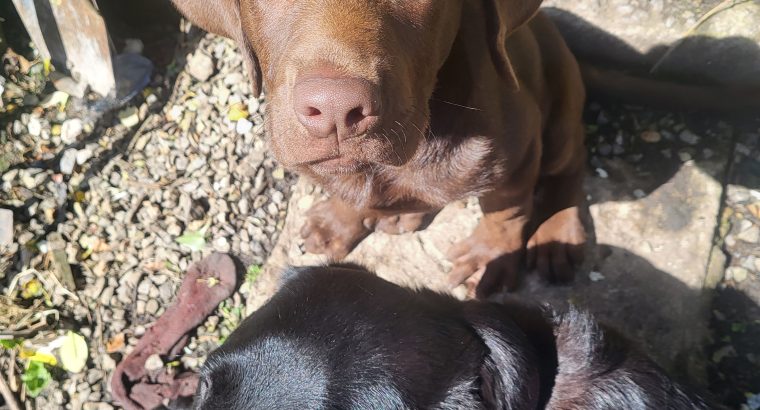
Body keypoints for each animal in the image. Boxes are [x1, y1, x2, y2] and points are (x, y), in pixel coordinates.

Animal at [174, 0, 588, 294]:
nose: (334, 108)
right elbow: (347, 190)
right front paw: (337, 222)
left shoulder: (520, 151)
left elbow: (506, 216)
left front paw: (489, 257)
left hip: (561, 114)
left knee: (570, 166)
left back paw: (557, 235)